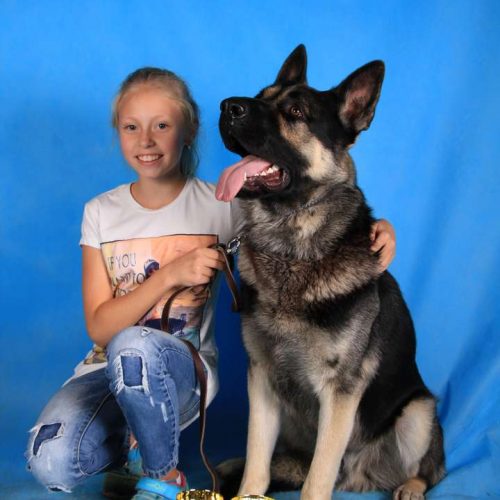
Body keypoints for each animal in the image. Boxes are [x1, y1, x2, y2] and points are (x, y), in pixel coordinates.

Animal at [215, 45, 445, 500]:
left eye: (295, 111)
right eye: (260, 96)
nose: (227, 106)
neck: (292, 249)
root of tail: (358, 475)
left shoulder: (340, 394)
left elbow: (318, 478)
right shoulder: (261, 381)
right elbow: (255, 460)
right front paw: (249, 489)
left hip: (418, 412)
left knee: (433, 465)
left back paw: (412, 485)